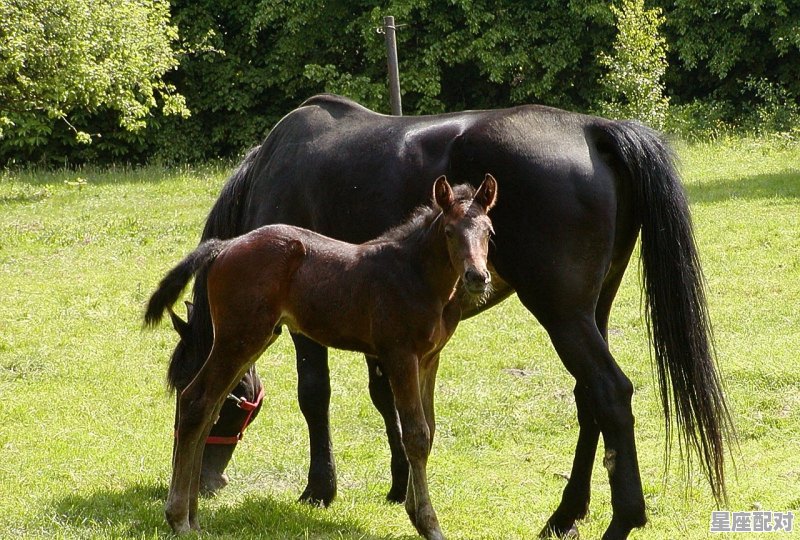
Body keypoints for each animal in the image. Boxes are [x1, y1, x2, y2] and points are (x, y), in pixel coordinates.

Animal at [143, 175, 494, 536]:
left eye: (489, 231)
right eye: (449, 231)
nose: (477, 277)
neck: (415, 274)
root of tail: (224, 247)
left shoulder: (429, 359)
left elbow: (430, 430)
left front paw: (414, 511)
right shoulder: (400, 355)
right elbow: (416, 434)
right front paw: (428, 524)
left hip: (249, 339)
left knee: (210, 407)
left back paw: (193, 517)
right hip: (238, 337)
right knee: (196, 401)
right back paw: (179, 518)